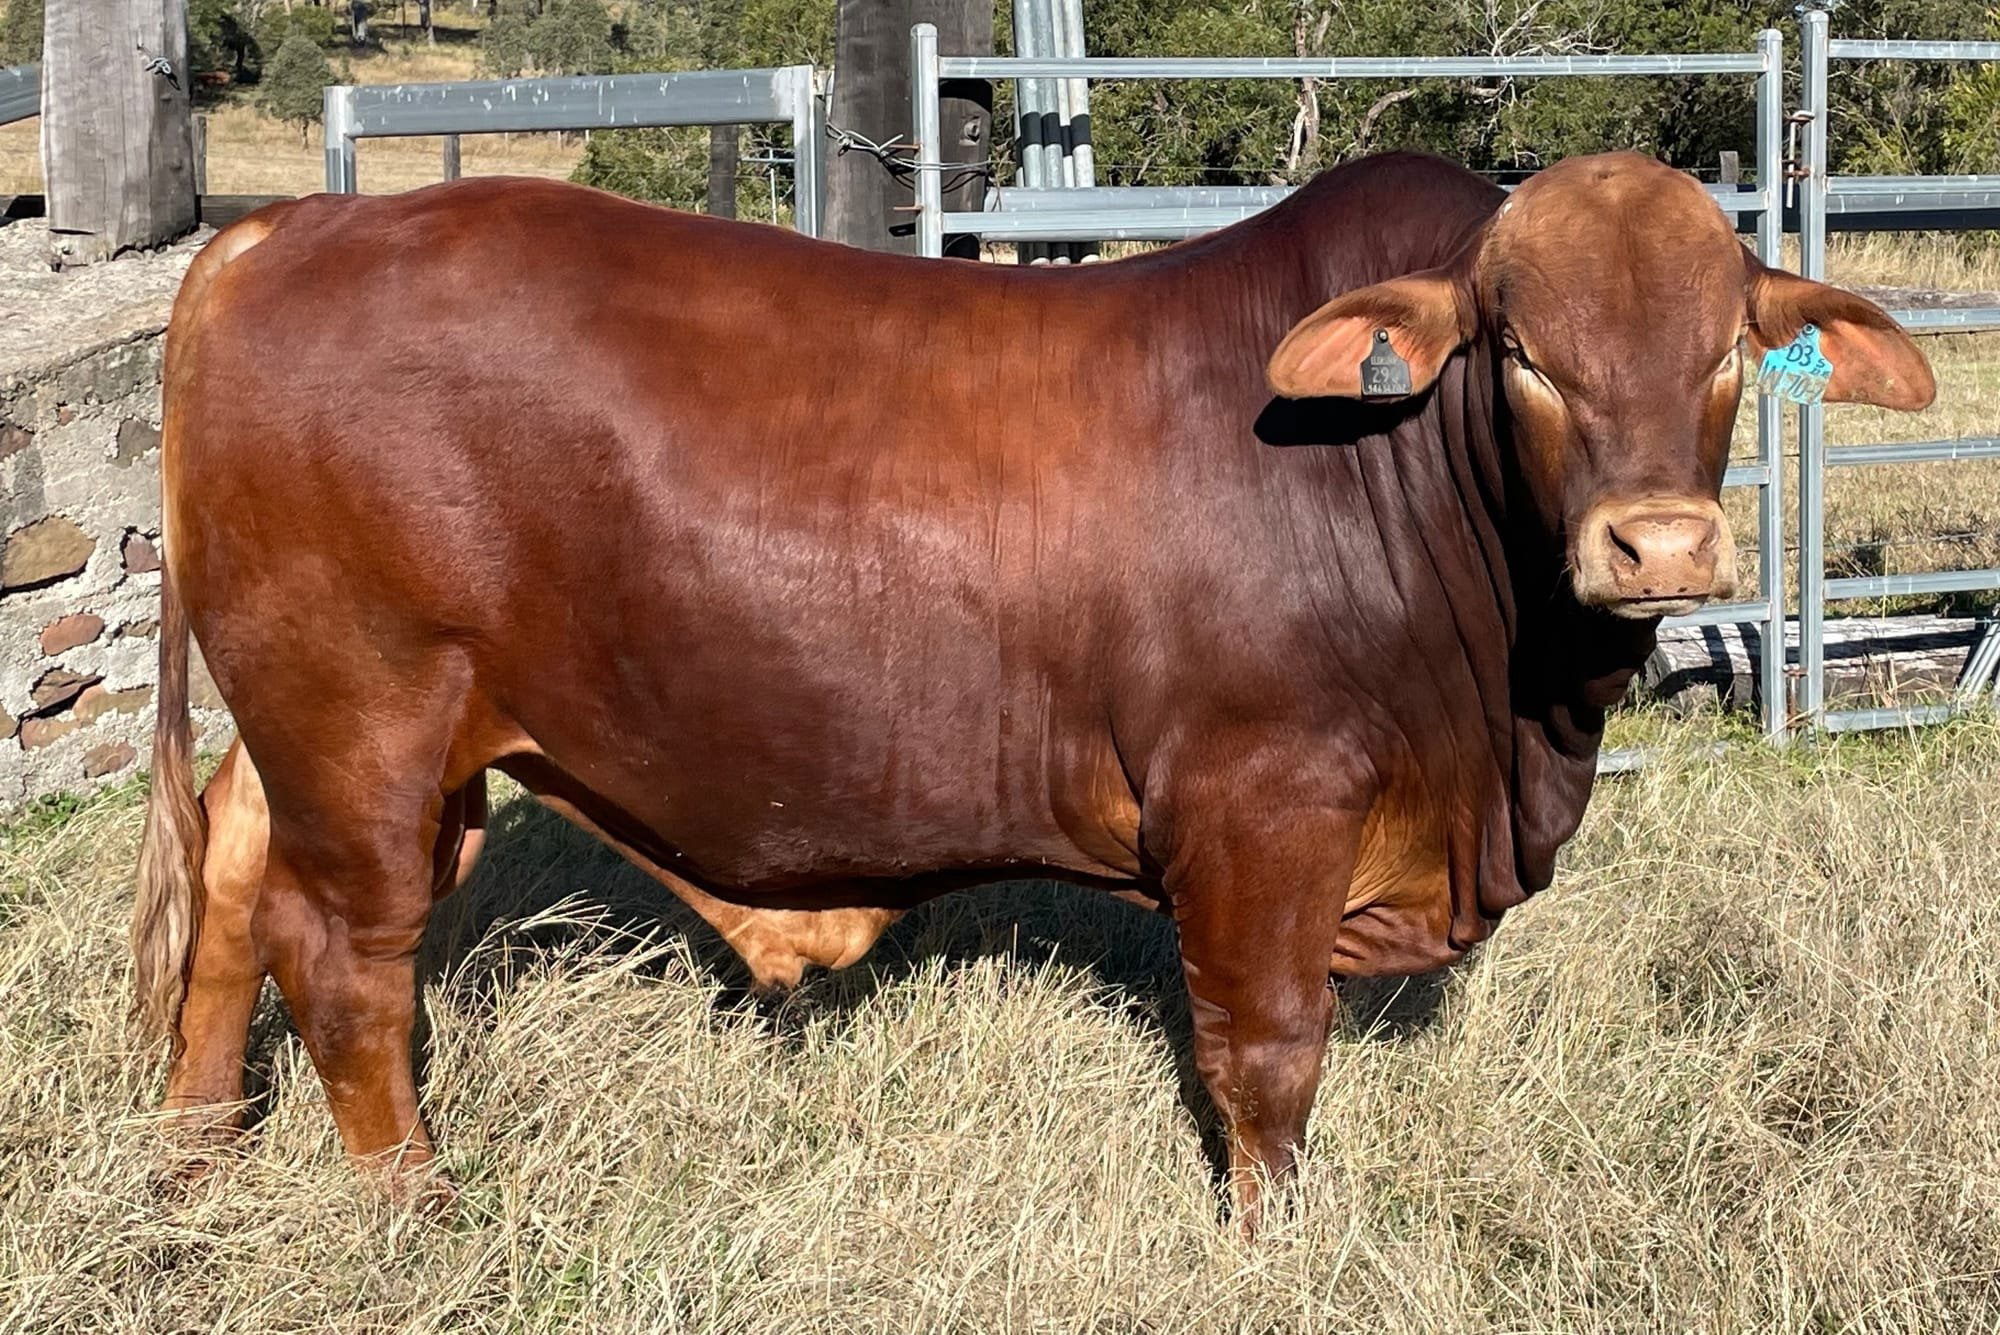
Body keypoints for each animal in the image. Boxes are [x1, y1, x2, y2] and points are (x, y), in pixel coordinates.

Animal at [133, 150, 1928, 1223]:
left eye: (1726, 348)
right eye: (1524, 351)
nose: (1662, 543)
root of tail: (282, 228)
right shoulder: (1261, 807)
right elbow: (1268, 1056)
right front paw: (1271, 1242)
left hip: (336, 735)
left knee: (228, 876)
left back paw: (197, 1147)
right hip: (365, 718)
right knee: (344, 961)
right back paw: (412, 1207)